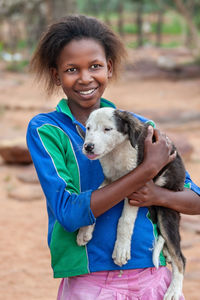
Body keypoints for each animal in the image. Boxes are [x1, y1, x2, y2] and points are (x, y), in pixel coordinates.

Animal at [77, 108, 186, 300]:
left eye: (107, 129)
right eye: (88, 128)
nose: (88, 146)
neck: (117, 151)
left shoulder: (137, 185)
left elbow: (125, 221)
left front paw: (121, 249)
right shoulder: (111, 181)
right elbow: (93, 200)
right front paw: (85, 231)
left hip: (167, 212)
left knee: (180, 258)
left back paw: (174, 290)